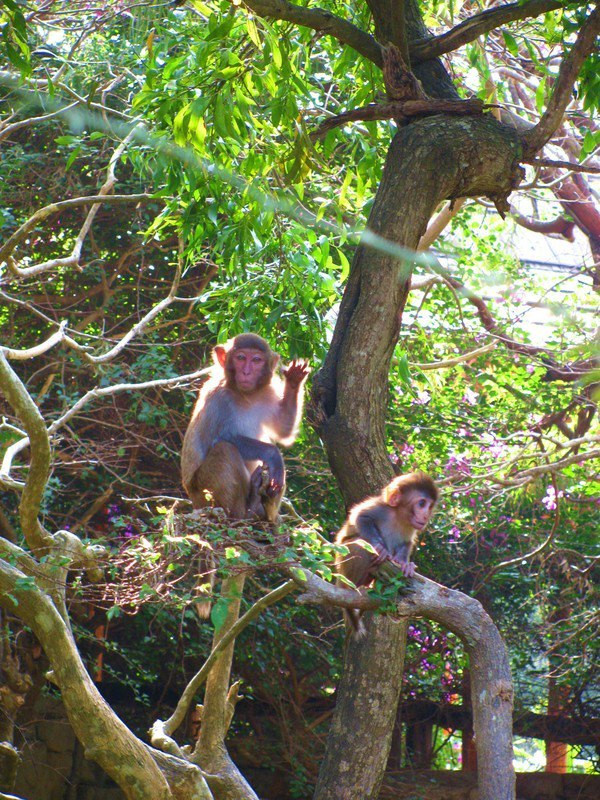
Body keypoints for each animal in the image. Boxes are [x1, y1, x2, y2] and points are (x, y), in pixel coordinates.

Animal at [182, 332, 310, 524]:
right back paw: (244, 512)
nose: (246, 372)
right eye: (241, 358)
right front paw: (273, 454)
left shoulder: (267, 393)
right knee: (225, 449)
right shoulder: (219, 398)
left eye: (256, 360)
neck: (245, 395)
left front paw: (294, 381)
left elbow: (283, 429)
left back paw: (265, 510)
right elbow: (221, 438)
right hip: (203, 496)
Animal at [336, 476, 438, 636]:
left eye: (430, 506)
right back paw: (354, 585)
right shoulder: (381, 509)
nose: (426, 515)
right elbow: (362, 517)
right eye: (422, 503)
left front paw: (404, 564)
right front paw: (381, 548)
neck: (399, 516)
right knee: (360, 546)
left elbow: (407, 543)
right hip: (343, 562)